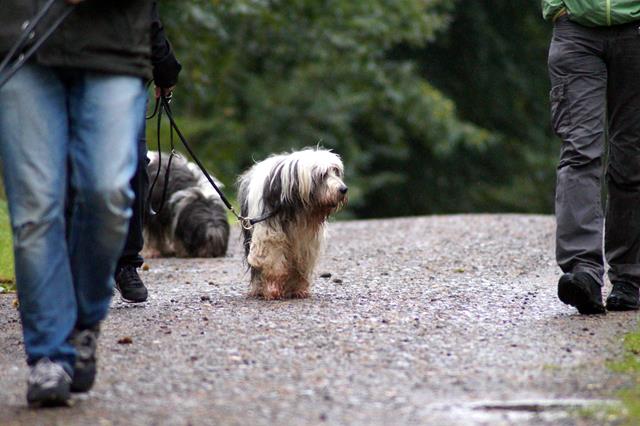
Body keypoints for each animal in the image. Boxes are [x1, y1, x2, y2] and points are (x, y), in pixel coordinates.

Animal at [237, 147, 348, 300]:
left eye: (336, 172)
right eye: (322, 175)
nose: (343, 189)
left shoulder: (305, 243)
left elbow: (300, 266)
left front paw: (298, 289)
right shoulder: (269, 238)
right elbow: (273, 265)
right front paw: (272, 290)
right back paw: (259, 288)